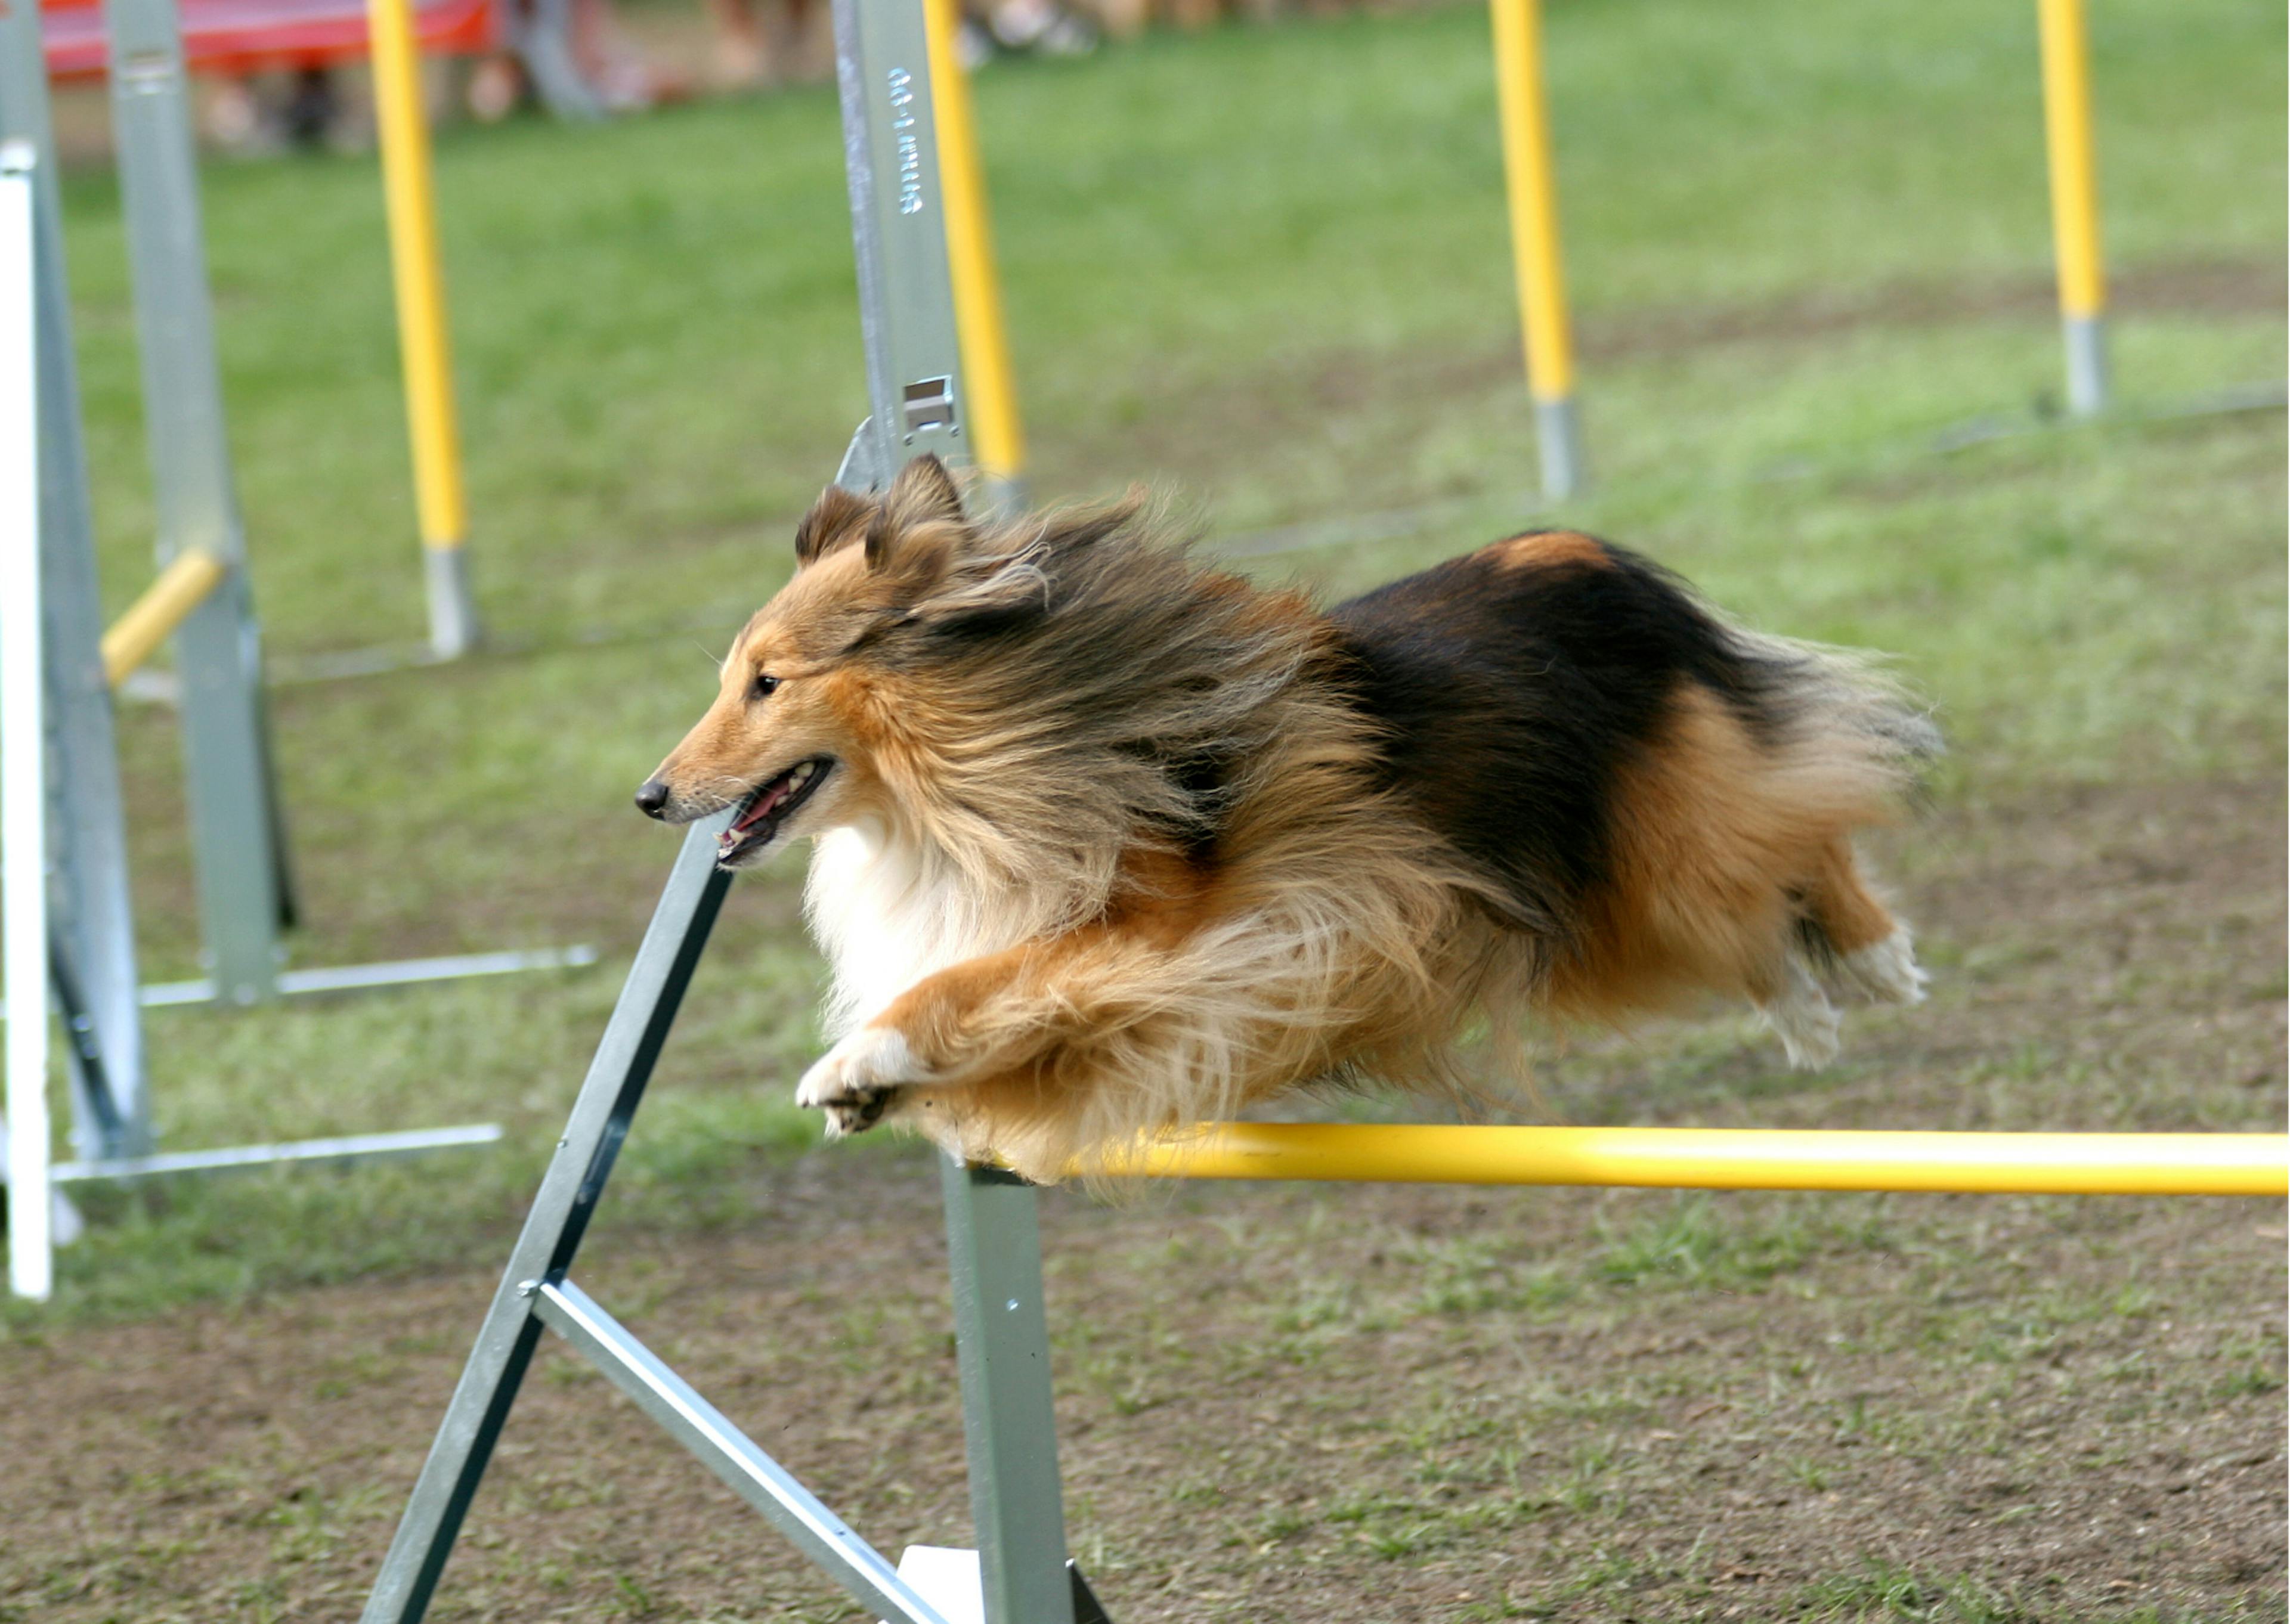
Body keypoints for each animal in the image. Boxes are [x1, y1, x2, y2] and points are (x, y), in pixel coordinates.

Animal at [636, 455, 1942, 1182]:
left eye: (767, 682)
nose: (650, 795)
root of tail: (1575, 551)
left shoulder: (1169, 938)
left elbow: (976, 981)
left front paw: (856, 1057)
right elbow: (1002, 1029)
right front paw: (877, 1088)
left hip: (1670, 850)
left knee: (1802, 828)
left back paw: (1877, 959)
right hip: (1606, 910)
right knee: (1757, 925)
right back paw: (1808, 1012)